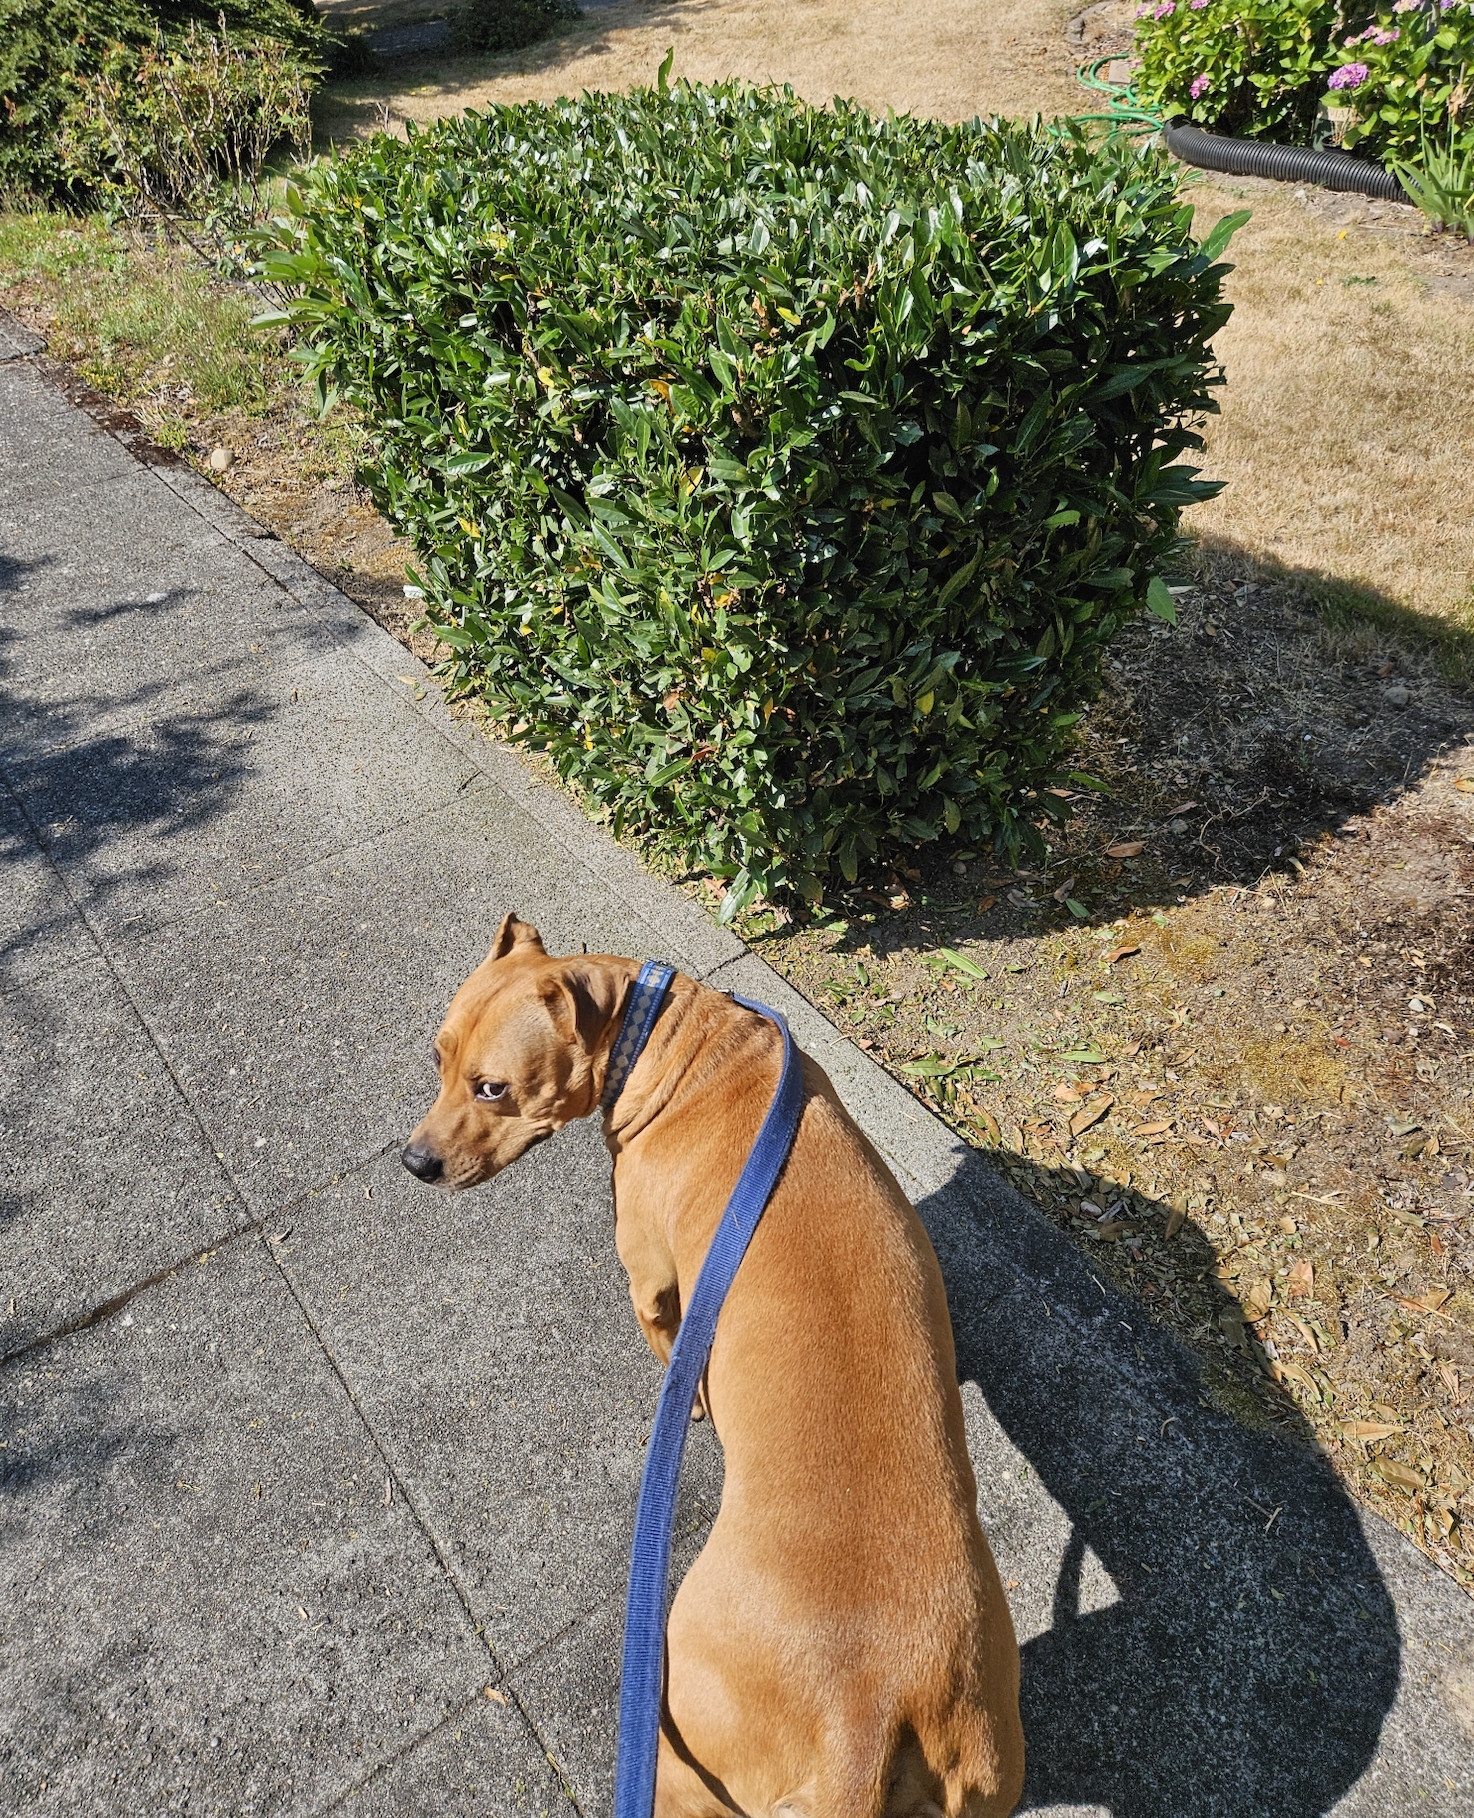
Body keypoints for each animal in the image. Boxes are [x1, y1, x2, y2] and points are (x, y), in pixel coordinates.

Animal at [403, 916, 1025, 1818]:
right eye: (437, 1058)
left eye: (491, 1088)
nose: (413, 1162)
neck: (664, 1030)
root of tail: (865, 1722)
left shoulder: (651, 1278)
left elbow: (668, 1352)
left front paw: (689, 1399)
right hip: (988, 1759)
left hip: (678, 1728)